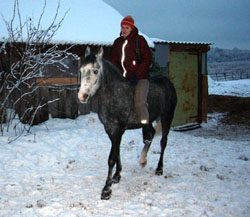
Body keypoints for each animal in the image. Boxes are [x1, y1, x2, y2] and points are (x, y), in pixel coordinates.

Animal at [77, 47, 177, 200]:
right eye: (81, 70)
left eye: (95, 71)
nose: (82, 96)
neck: (115, 95)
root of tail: (168, 82)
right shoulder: (110, 129)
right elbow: (117, 151)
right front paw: (116, 176)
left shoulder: (118, 130)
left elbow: (111, 158)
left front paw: (106, 190)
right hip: (148, 121)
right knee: (150, 135)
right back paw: (143, 160)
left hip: (167, 116)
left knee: (163, 141)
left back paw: (159, 169)